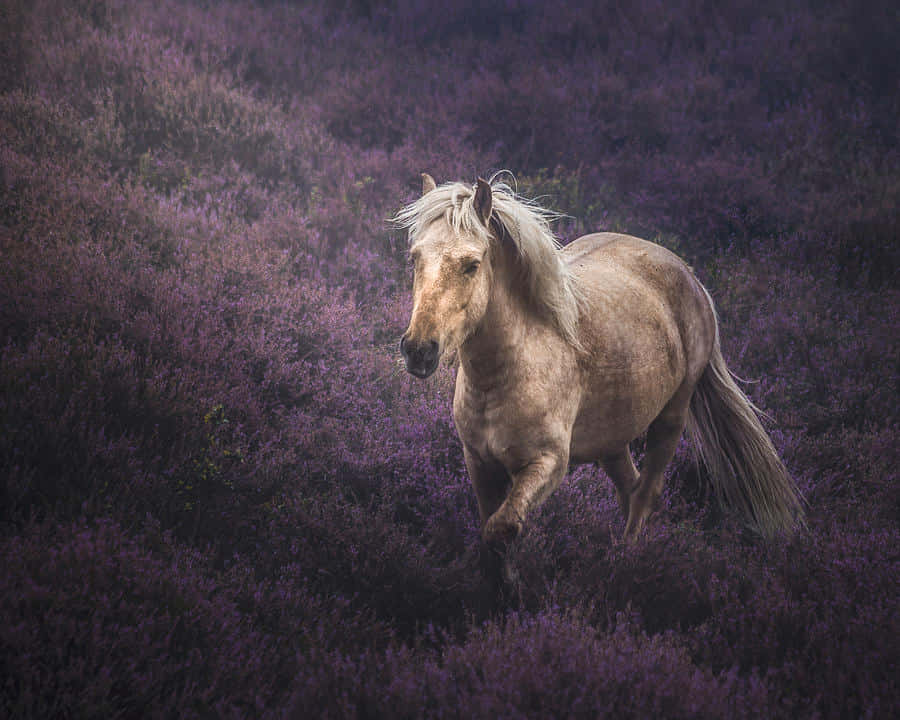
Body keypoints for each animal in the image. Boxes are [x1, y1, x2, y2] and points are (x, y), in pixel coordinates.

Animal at [395, 173, 804, 545]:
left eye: (472, 264)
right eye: (415, 258)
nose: (419, 349)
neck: (506, 373)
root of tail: (689, 276)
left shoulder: (547, 465)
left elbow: (502, 529)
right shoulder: (480, 465)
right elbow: (492, 540)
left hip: (671, 417)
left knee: (646, 494)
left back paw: (625, 558)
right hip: (613, 436)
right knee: (629, 487)